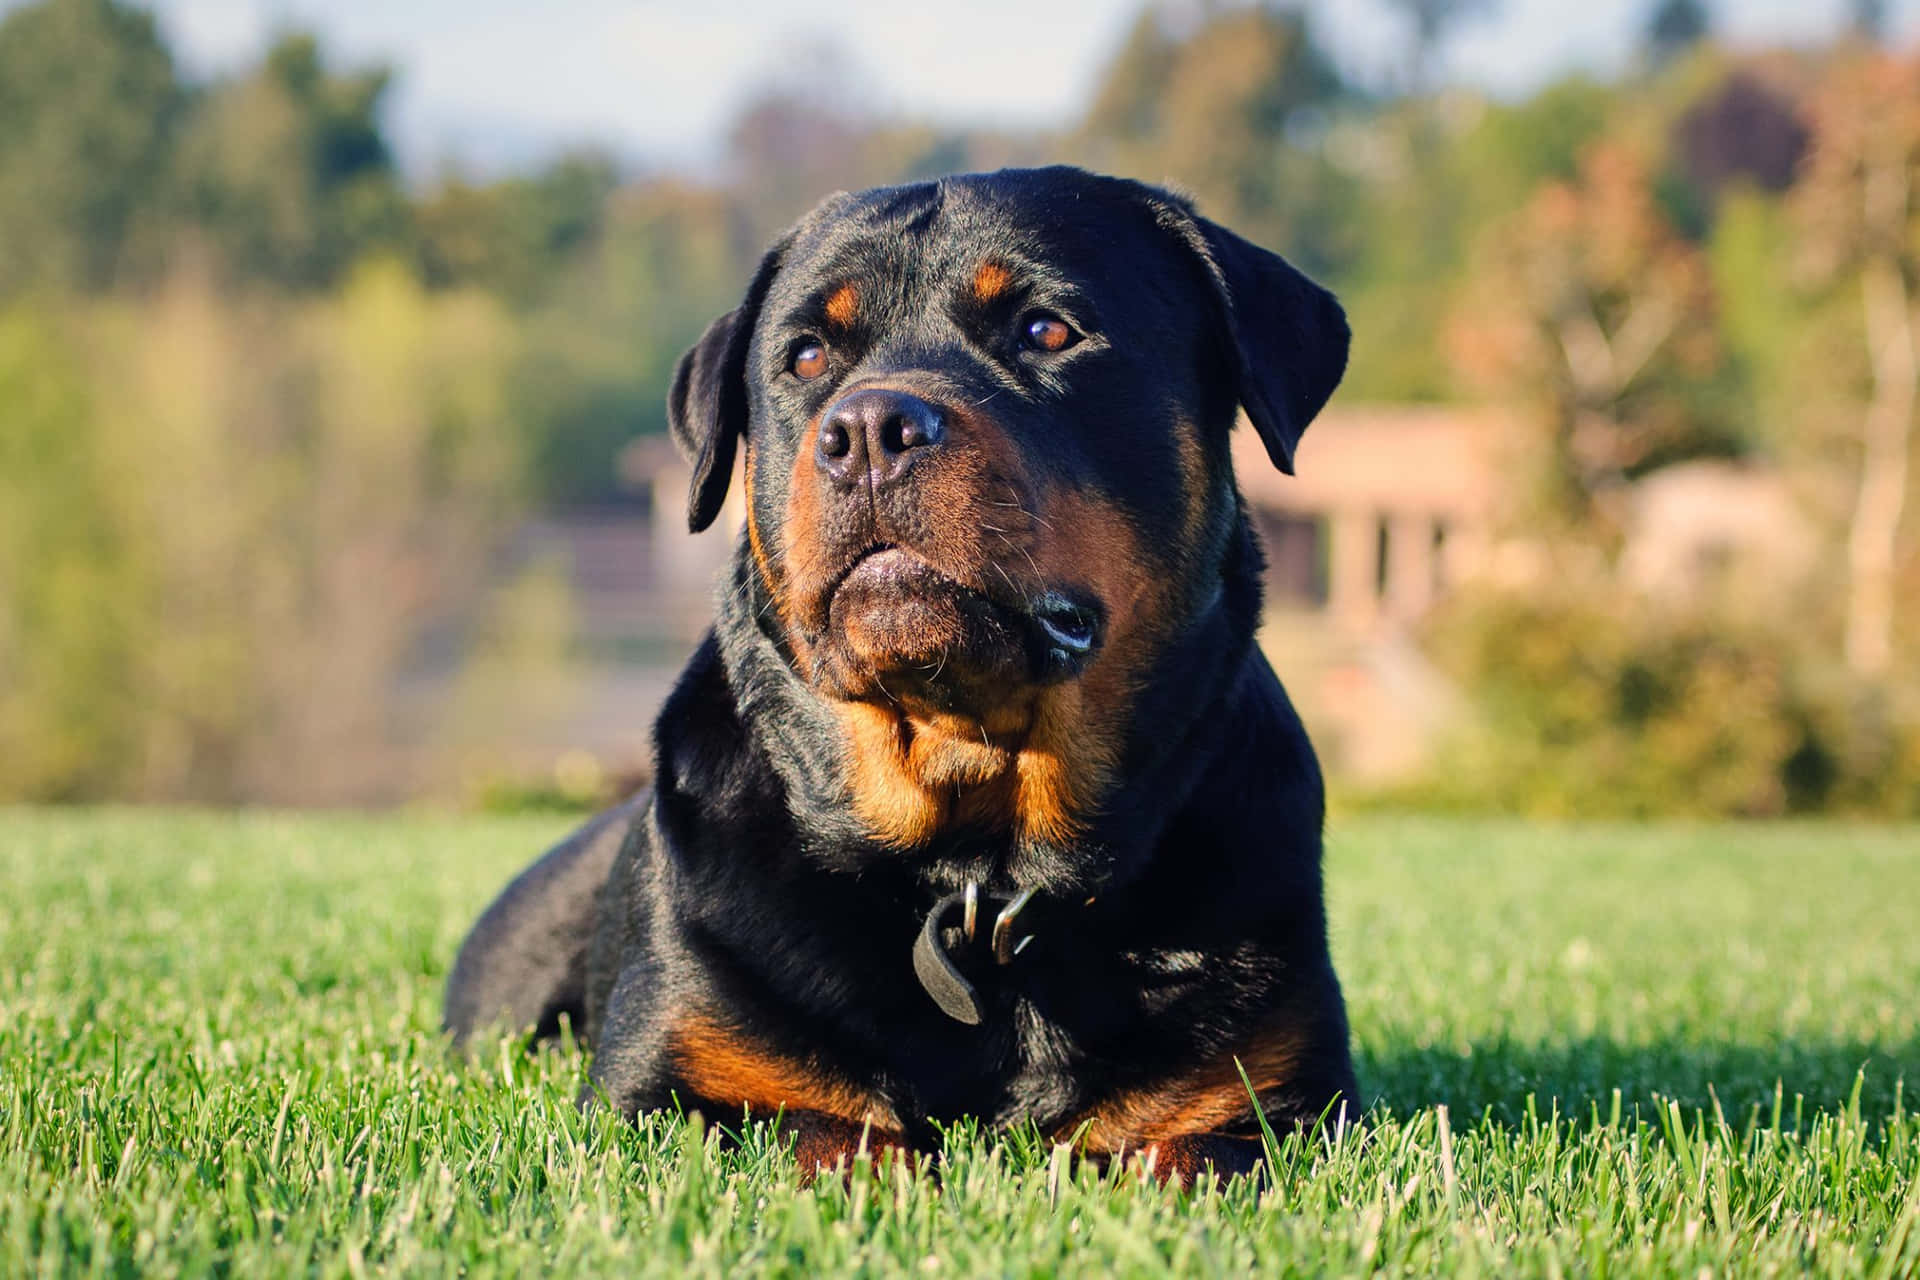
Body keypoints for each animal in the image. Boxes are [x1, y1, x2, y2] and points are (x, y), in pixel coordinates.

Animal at [441, 165, 1359, 1189]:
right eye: (805, 356)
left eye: (1047, 330)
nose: (870, 427)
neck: (974, 869)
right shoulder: (663, 1096)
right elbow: (828, 1136)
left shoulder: (1281, 1109)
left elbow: (1184, 1153)